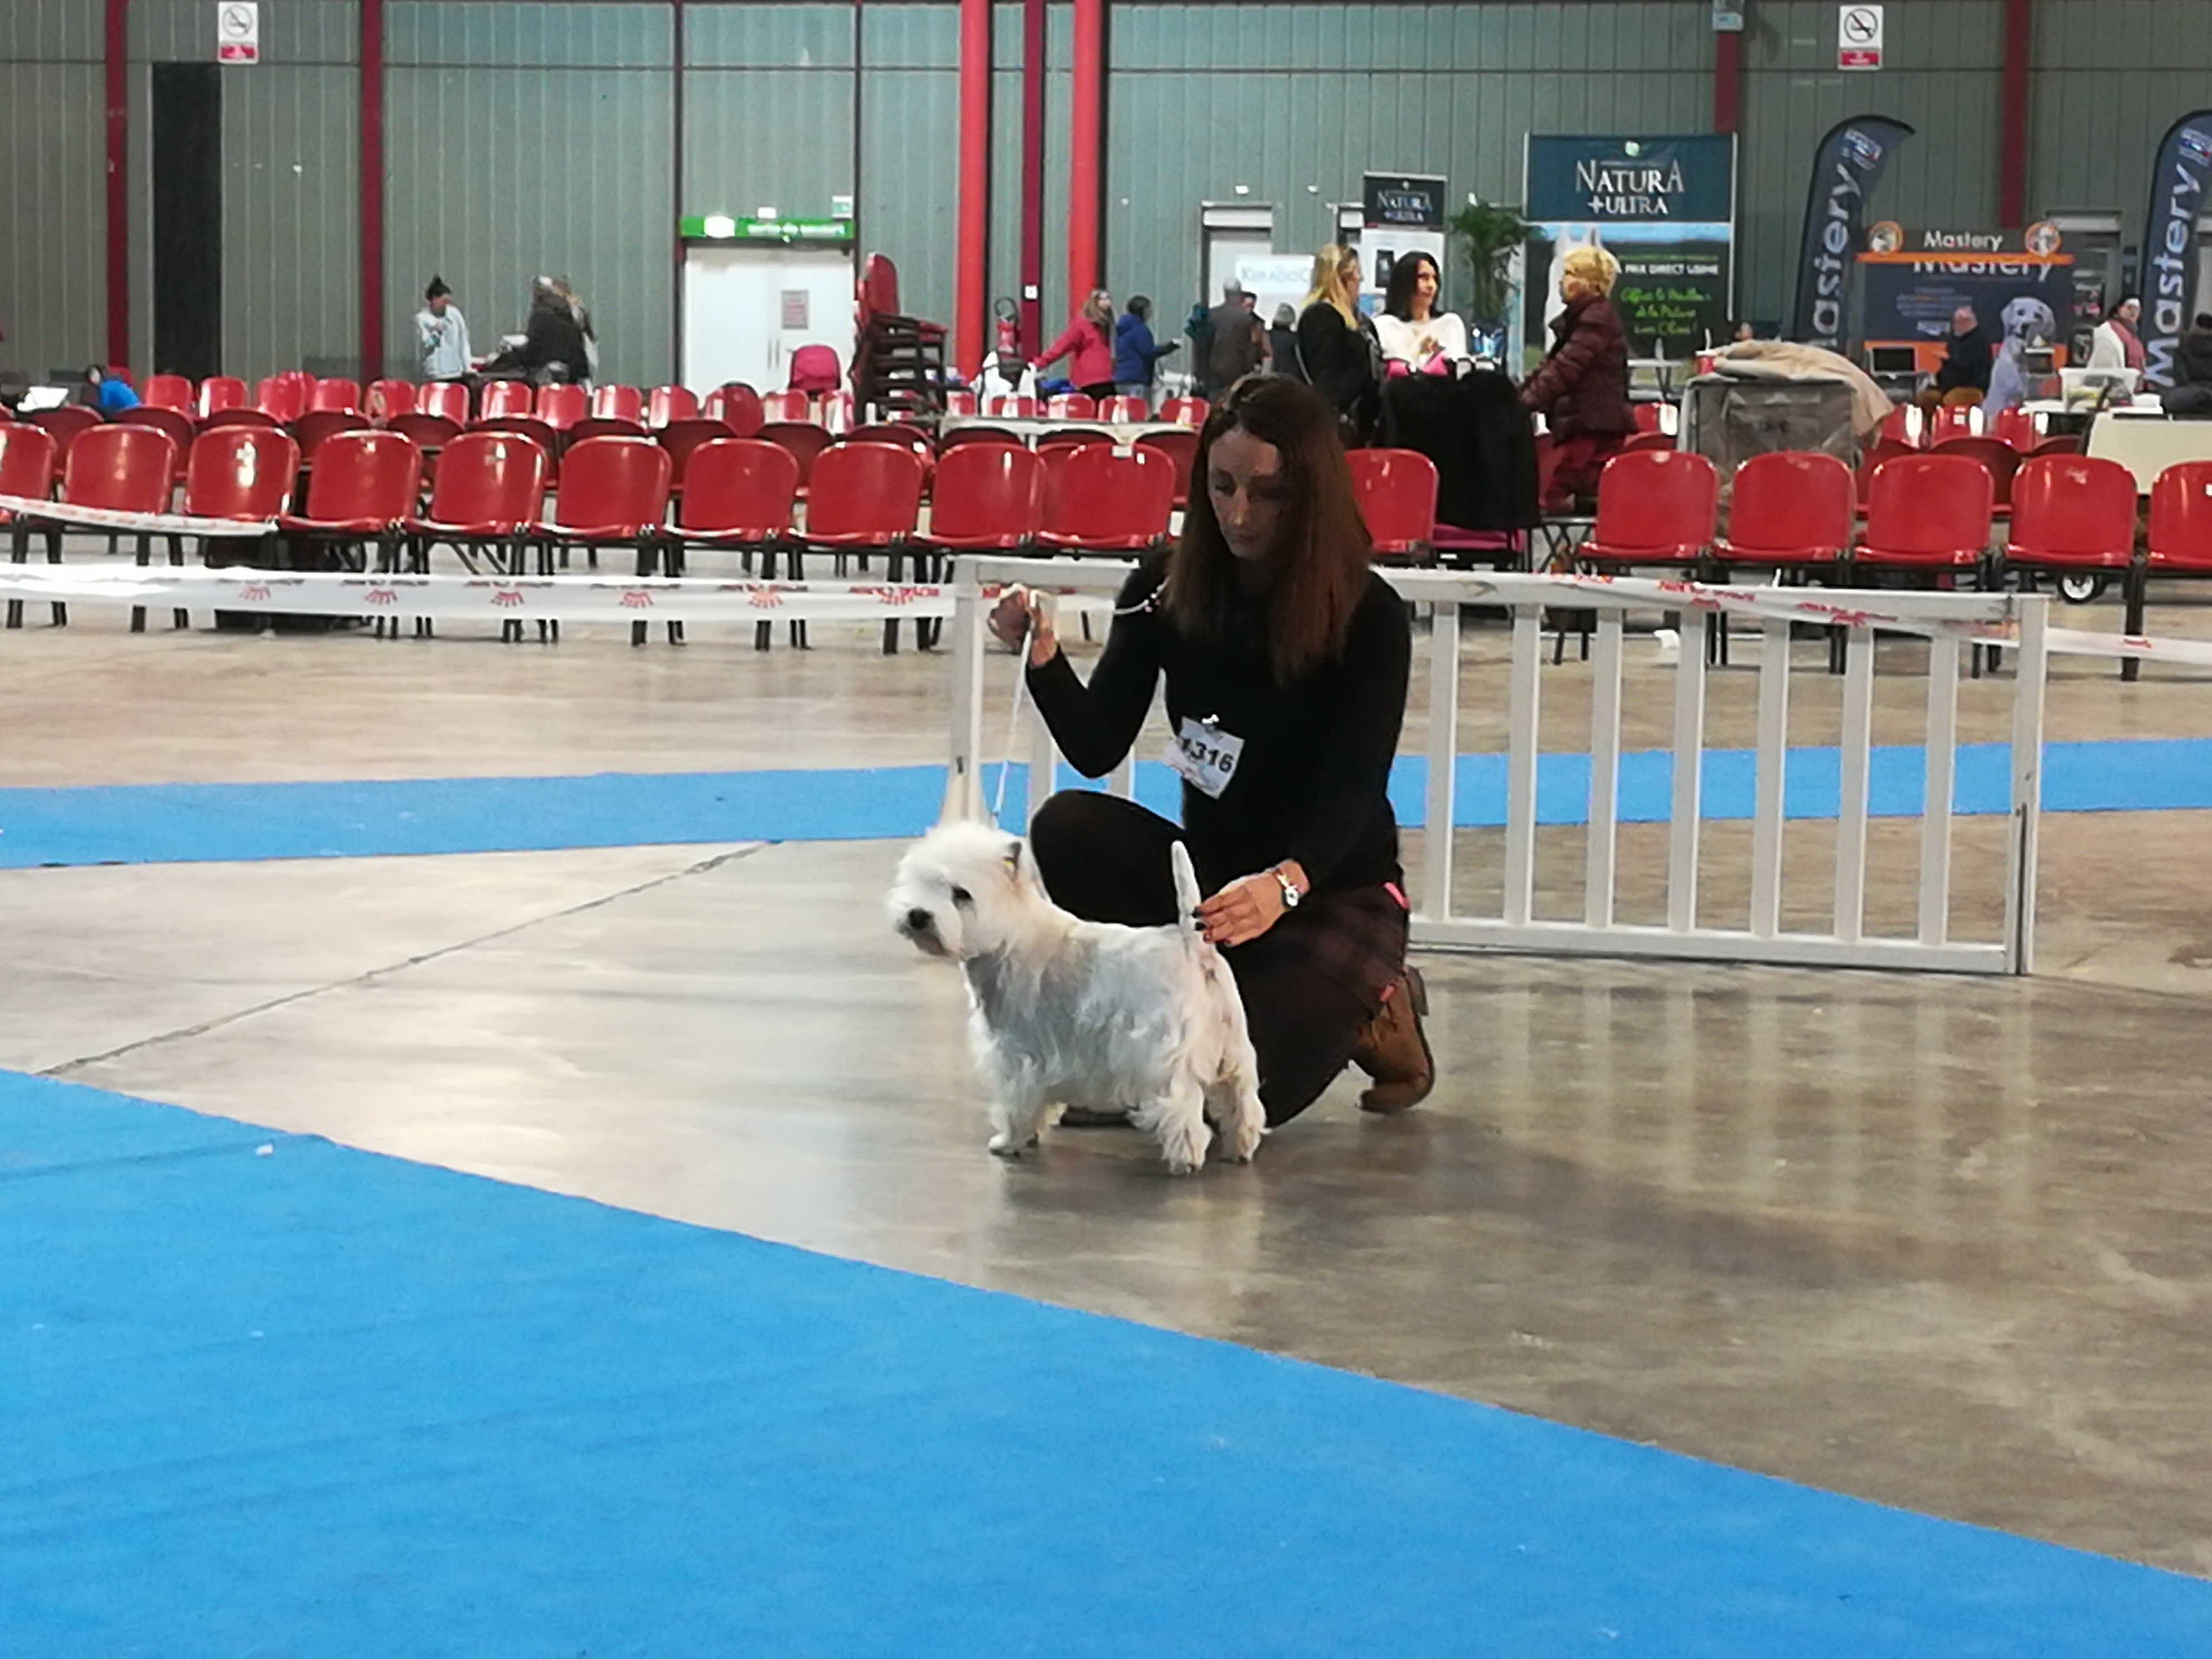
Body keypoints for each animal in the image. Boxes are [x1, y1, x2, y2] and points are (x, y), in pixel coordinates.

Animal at [880, 827, 1265, 1176]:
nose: (918, 915)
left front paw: (1008, 1142)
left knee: (1182, 1106)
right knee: (1242, 1103)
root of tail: (1194, 946)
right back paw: (1240, 1150)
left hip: (1167, 1055)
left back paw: (1185, 1161)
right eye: (923, 881)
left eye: (961, 894)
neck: (1009, 937)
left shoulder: (1015, 1054)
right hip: (1236, 1051)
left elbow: (1015, 1103)